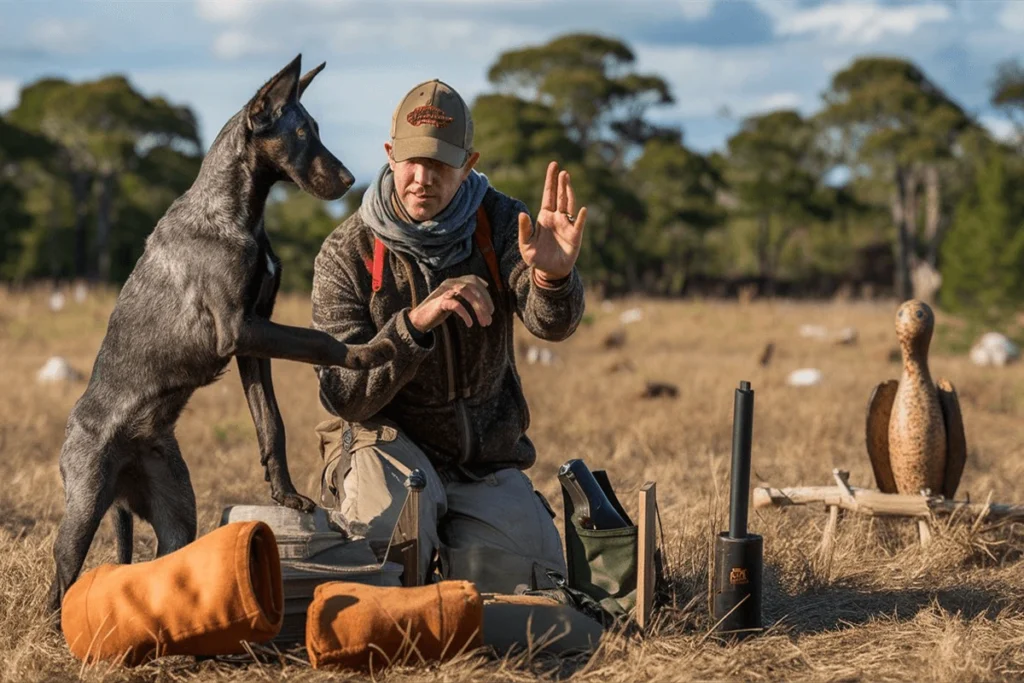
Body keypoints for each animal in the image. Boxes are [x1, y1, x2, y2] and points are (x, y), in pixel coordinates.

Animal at [43, 56, 391, 618]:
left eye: (315, 129)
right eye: (300, 133)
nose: (349, 179)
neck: (239, 212)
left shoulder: (255, 340)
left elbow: (271, 424)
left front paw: (284, 493)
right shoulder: (239, 328)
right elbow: (320, 341)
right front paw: (368, 352)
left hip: (176, 512)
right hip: (83, 508)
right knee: (60, 584)